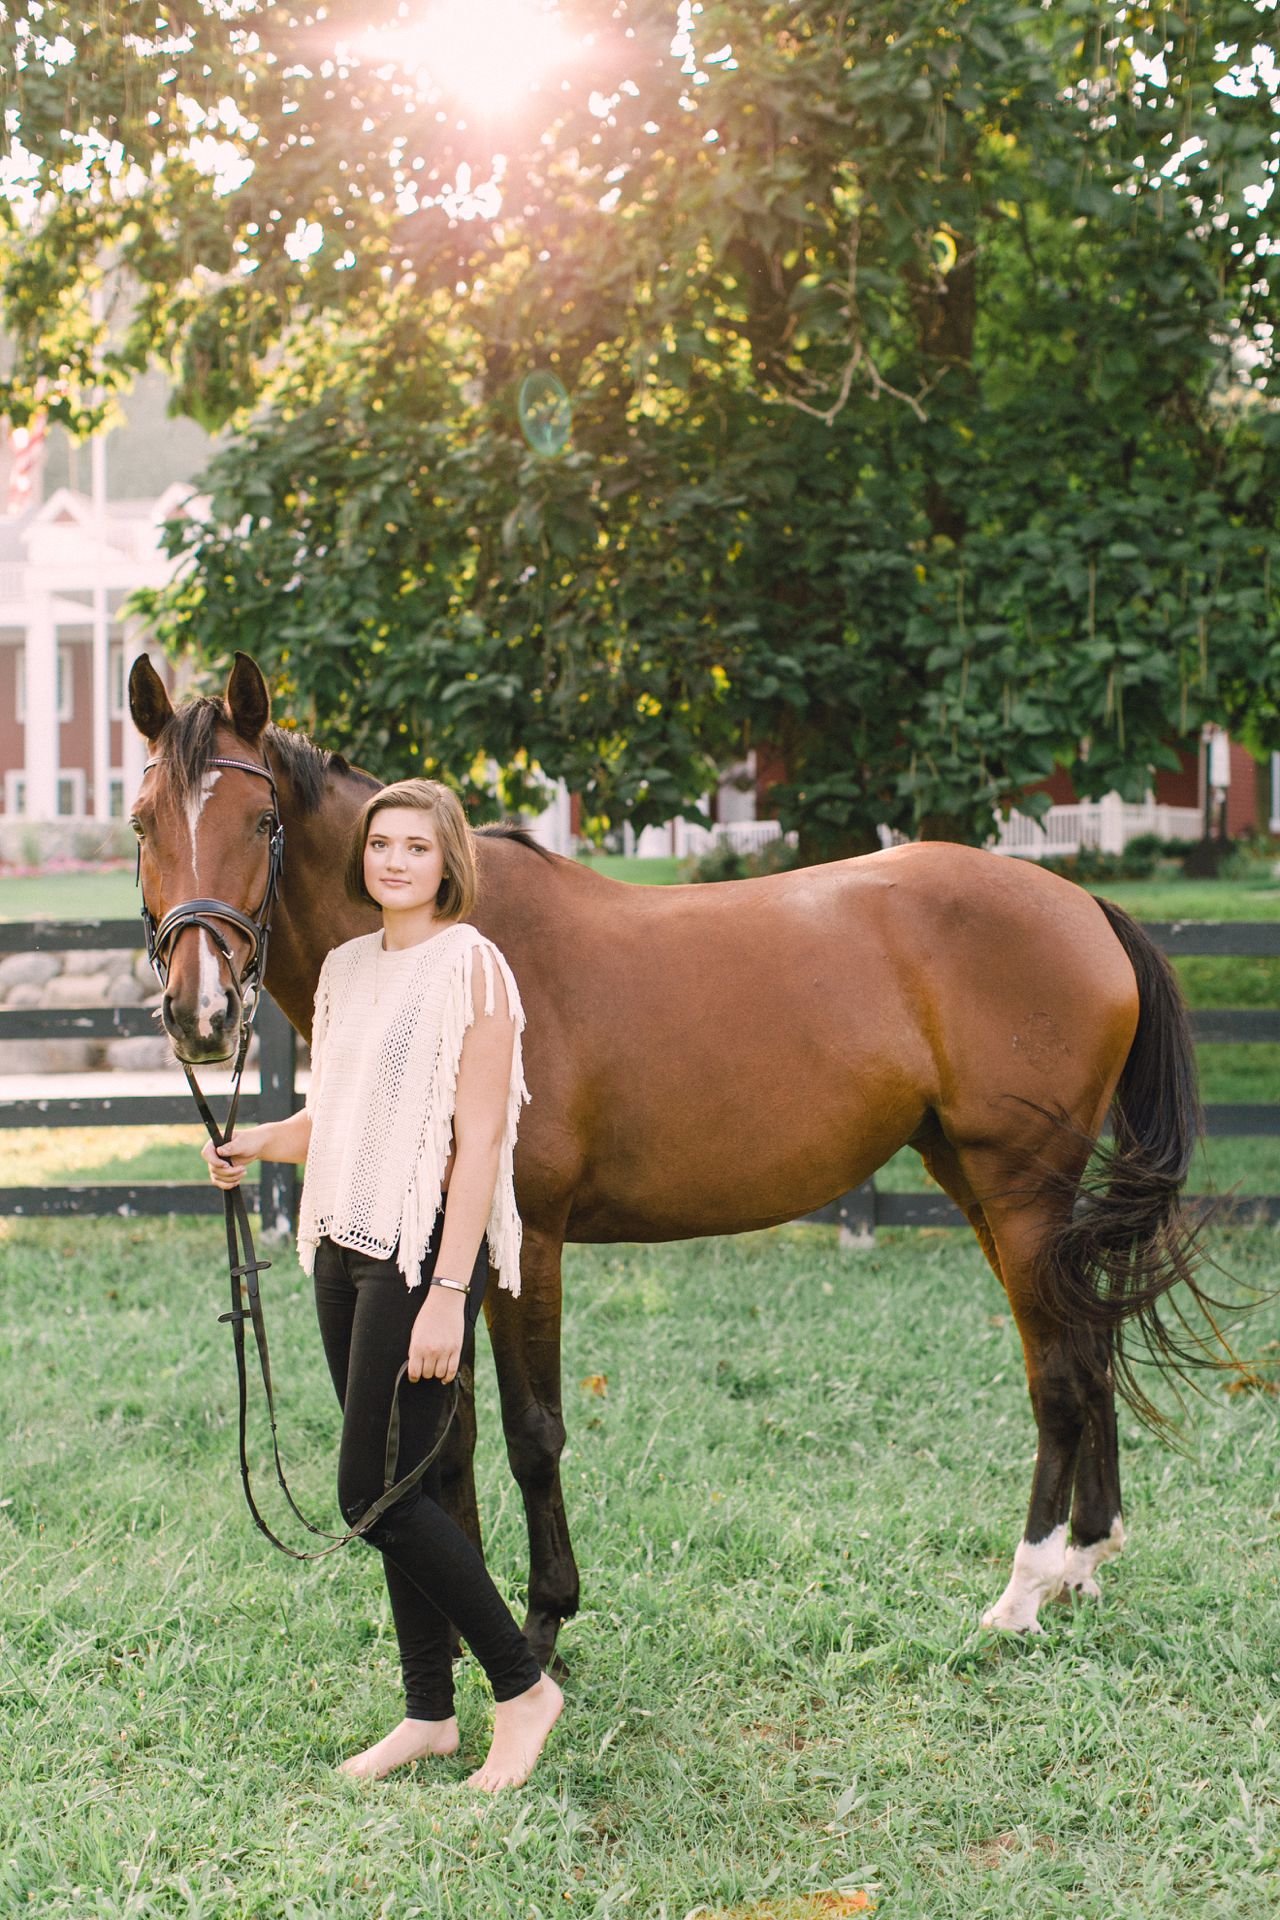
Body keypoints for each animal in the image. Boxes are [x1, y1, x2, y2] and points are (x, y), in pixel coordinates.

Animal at [128, 650, 1216, 1659]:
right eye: (142, 825)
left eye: (261, 825)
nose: (199, 1014)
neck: (455, 949)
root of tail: (1084, 907)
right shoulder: (446, 1256)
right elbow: (447, 1441)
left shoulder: (527, 1246)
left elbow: (532, 1434)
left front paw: (542, 1626)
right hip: (979, 1183)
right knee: (1087, 1348)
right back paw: (1082, 1560)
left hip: (1020, 1190)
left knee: (1059, 1375)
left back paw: (1023, 1591)